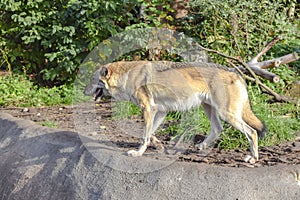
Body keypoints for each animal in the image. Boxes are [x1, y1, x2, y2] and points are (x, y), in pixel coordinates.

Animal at [83, 61, 266, 164]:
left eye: (92, 80)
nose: (83, 91)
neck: (126, 76)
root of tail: (237, 73)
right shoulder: (159, 111)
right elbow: (149, 133)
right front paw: (157, 145)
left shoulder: (148, 109)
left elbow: (144, 136)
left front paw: (138, 153)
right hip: (210, 110)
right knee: (217, 129)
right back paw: (201, 146)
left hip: (226, 114)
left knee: (252, 132)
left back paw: (253, 158)